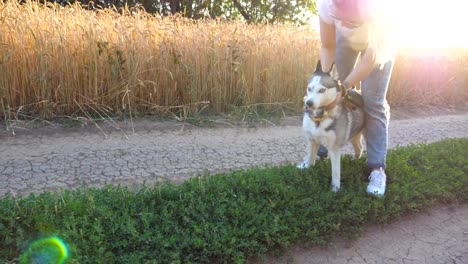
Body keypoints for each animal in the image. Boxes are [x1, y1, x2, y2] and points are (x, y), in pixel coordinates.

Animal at [298, 60, 368, 191]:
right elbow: (311, 160)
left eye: (322, 90)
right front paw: (308, 170)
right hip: (354, 136)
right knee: (359, 148)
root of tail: (358, 92)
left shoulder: (334, 148)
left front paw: (335, 189)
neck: (319, 118)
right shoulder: (312, 141)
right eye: (309, 88)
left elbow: (335, 172)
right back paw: (355, 160)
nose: (308, 103)